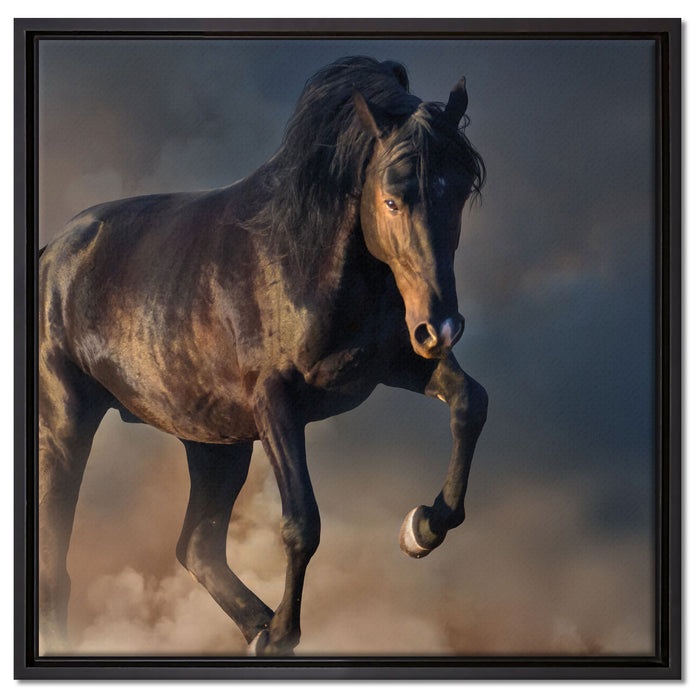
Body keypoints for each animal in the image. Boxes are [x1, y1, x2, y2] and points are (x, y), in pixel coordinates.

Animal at [37, 56, 488, 656]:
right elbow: (302, 522)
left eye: (459, 192)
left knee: (197, 546)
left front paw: (424, 527)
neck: (304, 260)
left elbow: (470, 402)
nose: (442, 327)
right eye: (392, 198)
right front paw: (283, 634)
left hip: (214, 443)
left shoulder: (396, 365)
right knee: (58, 565)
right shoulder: (275, 401)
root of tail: (52, 254)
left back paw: (255, 626)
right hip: (65, 425)